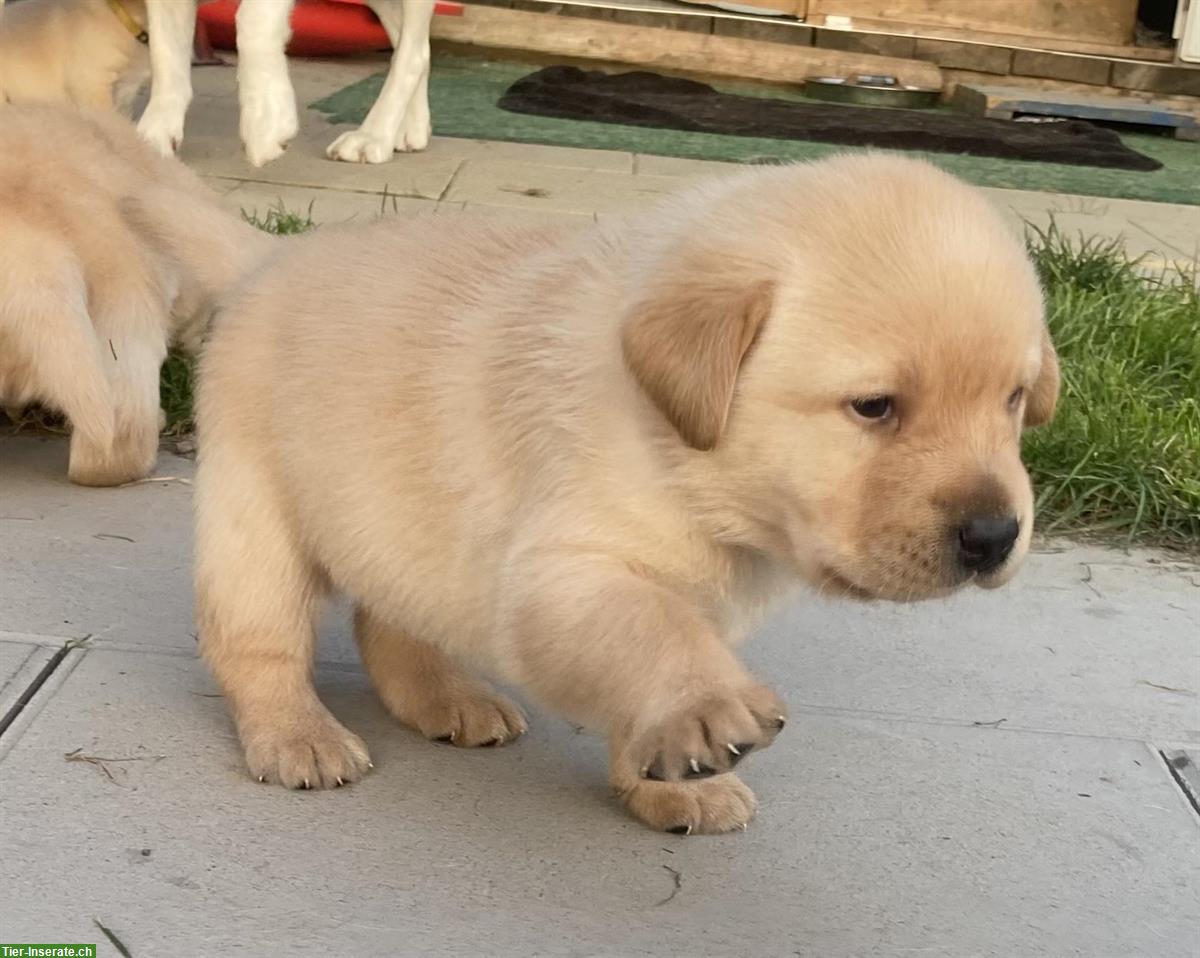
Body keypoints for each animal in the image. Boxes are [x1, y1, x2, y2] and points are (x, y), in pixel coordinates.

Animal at [136, 0, 436, 165]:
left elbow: (253, 20)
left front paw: (267, 123)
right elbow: (165, 51)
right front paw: (153, 137)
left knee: (412, 52)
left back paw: (372, 135)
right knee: (413, 44)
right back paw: (408, 128)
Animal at [196, 153, 1060, 835]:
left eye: (1014, 399)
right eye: (875, 406)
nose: (994, 535)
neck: (693, 470)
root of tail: (267, 260)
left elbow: (634, 674)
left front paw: (674, 784)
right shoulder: (567, 570)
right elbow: (653, 632)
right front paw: (704, 712)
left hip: (399, 528)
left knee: (389, 623)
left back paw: (447, 699)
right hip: (254, 517)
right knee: (258, 643)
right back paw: (298, 736)